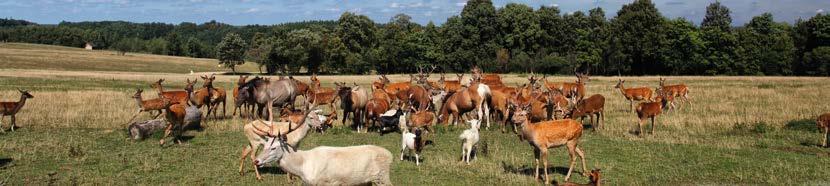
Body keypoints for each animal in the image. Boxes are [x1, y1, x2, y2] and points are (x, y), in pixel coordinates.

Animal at [255, 139, 394, 185]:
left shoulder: (325, 182)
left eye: (274, 147)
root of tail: (390, 155)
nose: (256, 160)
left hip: (382, 177)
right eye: (264, 145)